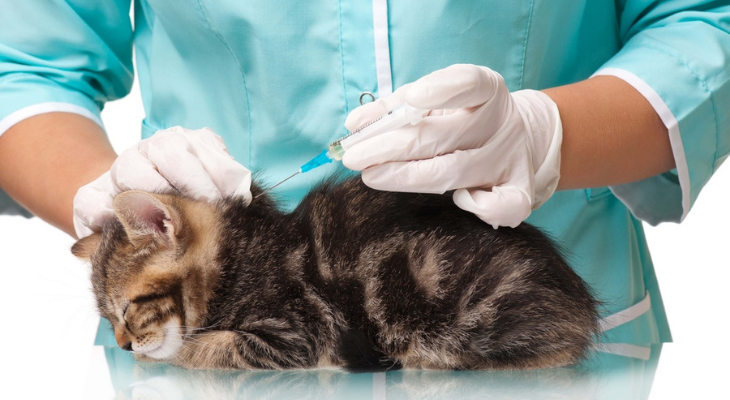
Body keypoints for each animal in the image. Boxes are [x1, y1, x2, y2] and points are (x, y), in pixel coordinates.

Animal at [72, 178, 596, 372]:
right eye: (107, 320)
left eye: (127, 309)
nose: (123, 346)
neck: (238, 259)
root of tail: (579, 306)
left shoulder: (293, 330)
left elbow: (204, 346)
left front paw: (179, 351)